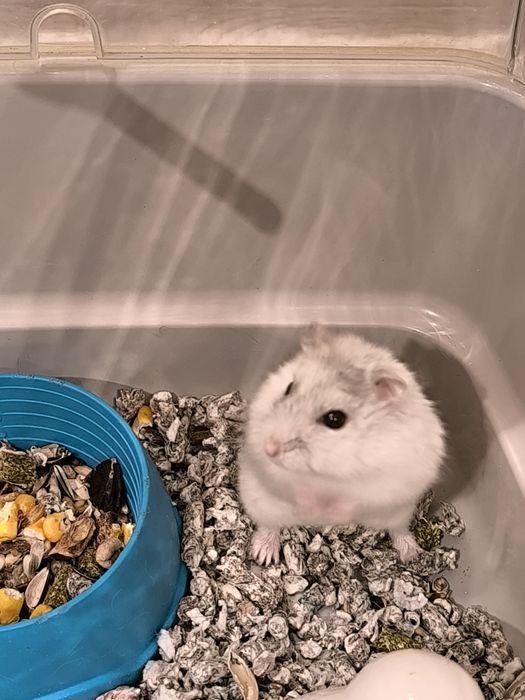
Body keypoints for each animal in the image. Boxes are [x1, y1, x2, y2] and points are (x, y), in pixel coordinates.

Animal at [238, 325, 445, 565]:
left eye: (334, 419)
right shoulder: (274, 472)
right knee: (269, 526)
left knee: (398, 529)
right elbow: (292, 487)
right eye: (288, 387)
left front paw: (331, 514)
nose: (269, 448)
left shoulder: (383, 484)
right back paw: (264, 555)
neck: (331, 469)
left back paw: (410, 553)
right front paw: (311, 511)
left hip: (399, 512)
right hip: (260, 504)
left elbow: (351, 500)